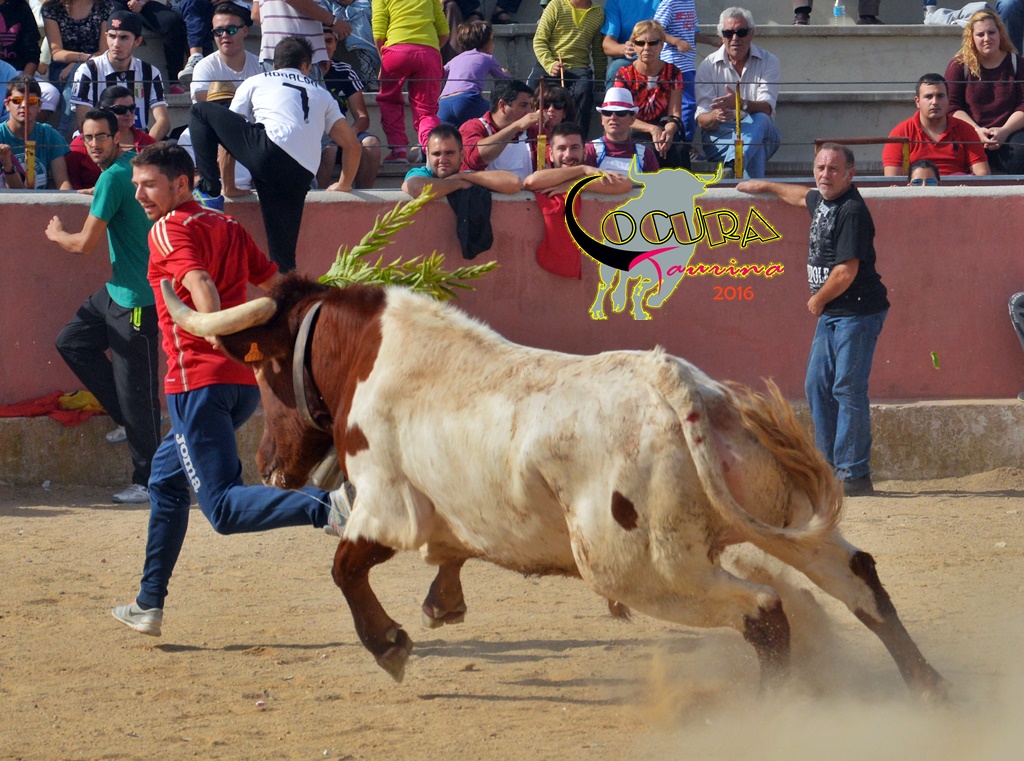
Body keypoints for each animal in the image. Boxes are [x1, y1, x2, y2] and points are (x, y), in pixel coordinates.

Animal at [160, 275, 948, 699]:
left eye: (260, 369)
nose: (268, 464)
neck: (371, 353)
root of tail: (680, 388)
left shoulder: (385, 508)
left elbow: (344, 565)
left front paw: (391, 645)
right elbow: (443, 555)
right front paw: (442, 603)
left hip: (641, 568)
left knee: (764, 609)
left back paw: (781, 708)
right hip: (768, 512)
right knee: (857, 577)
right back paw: (929, 687)